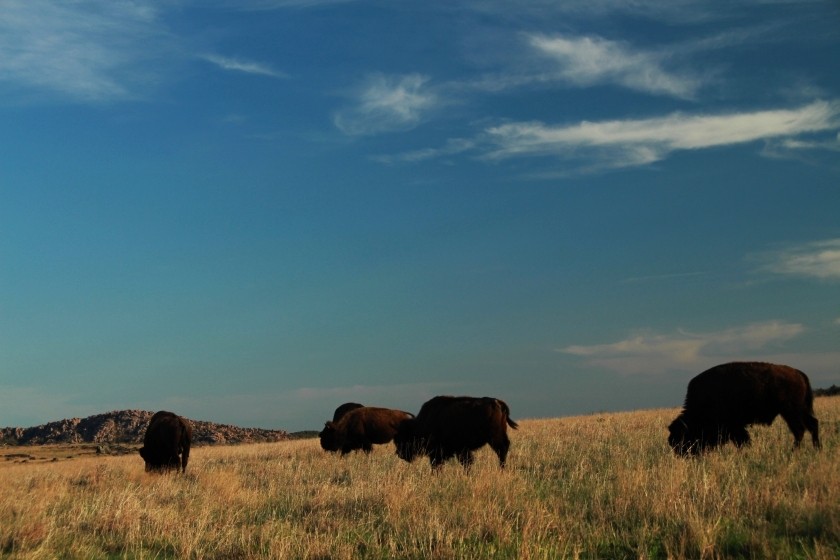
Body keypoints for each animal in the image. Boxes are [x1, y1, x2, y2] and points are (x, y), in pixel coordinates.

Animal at [668, 364, 820, 456]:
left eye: (684, 438)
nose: (683, 455)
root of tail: (798, 373)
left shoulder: (734, 427)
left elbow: (742, 440)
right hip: (800, 410)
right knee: (812, 424)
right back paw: (817, 448)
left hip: (791, 411)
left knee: (799, 430)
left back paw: (793, 451)